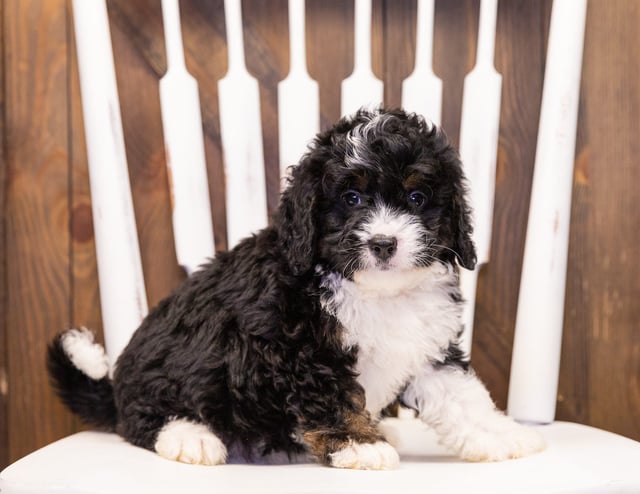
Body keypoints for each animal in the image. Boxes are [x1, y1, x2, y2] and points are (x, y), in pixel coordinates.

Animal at [47, 108, 544, 470]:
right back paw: (190, 437)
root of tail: (114, 388)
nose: (384, 243)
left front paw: (503, 435)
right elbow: (330, 397)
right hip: (163, 374)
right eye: (351, 198)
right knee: (141, 419)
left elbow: (461, 395)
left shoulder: (428, 346)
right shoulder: (291, 348)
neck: (376, 292)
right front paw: (359, 445)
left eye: (417, 198)